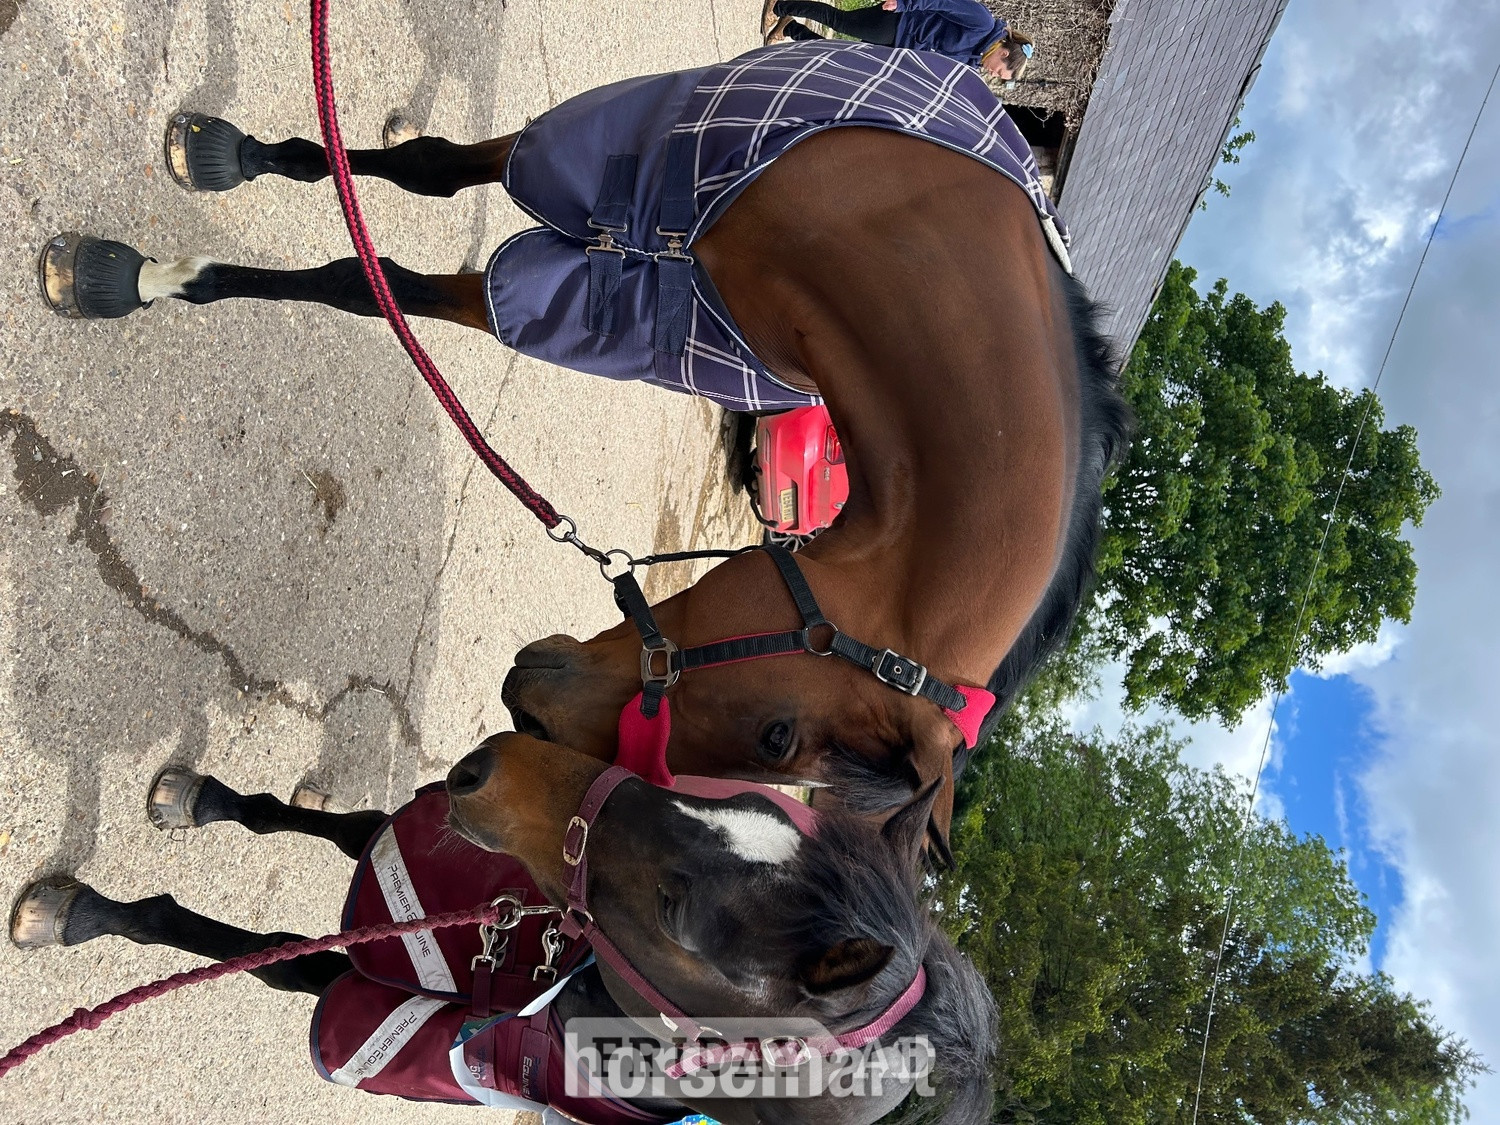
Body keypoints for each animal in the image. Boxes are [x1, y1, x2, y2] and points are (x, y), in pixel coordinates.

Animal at [10, 734, 997, 1124]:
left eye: (678, 911)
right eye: (743, 794)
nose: (488, 766)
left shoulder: (356, 979)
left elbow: (248, 953)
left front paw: (75, 913)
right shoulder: (406, 850)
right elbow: (311, 822)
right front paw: (197, 798)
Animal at [39, 41, 1130, 847]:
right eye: (780, 736)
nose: (530, 728)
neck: (889, 222)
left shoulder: (615, 305)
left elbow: (390, 266)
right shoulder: (612, 196)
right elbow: (381, 256)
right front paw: (144, 277)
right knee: (433, 169)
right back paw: (229, 158)